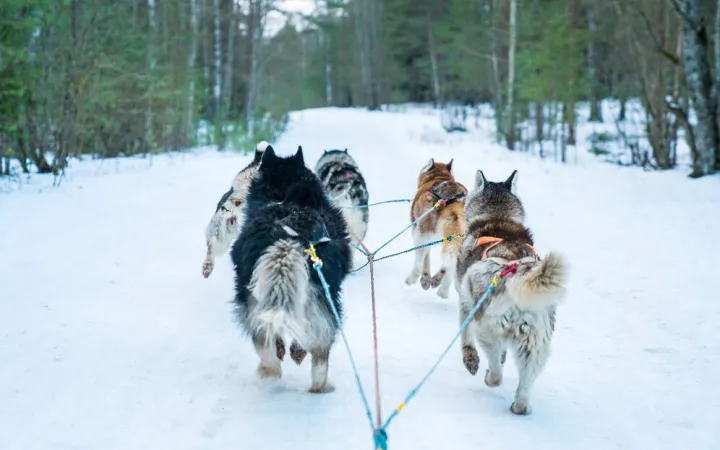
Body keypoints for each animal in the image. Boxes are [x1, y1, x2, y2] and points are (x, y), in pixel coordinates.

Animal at [231, 145, 352, 394]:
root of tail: (289, 238)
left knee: (265, 340)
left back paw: (272, 370)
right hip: (324, 297)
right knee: (318, 350)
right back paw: (318, 384)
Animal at [402, 158, 470, 298]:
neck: (439, 177)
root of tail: (452, 200)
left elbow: (425, 258)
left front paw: (425, 278)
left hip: (421, 234)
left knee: (419, 262)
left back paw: (412, 278)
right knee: (450, 265)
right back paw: (443, 289)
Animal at [456, 171, 568, 416]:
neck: (498, 215)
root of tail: (519, 278)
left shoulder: (466, 302)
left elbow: (466, 338)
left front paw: (470, 359)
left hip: (487, 330)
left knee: (497, 373)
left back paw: (490, 377)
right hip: (535, 347)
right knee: (523, 389)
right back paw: (520, 407)